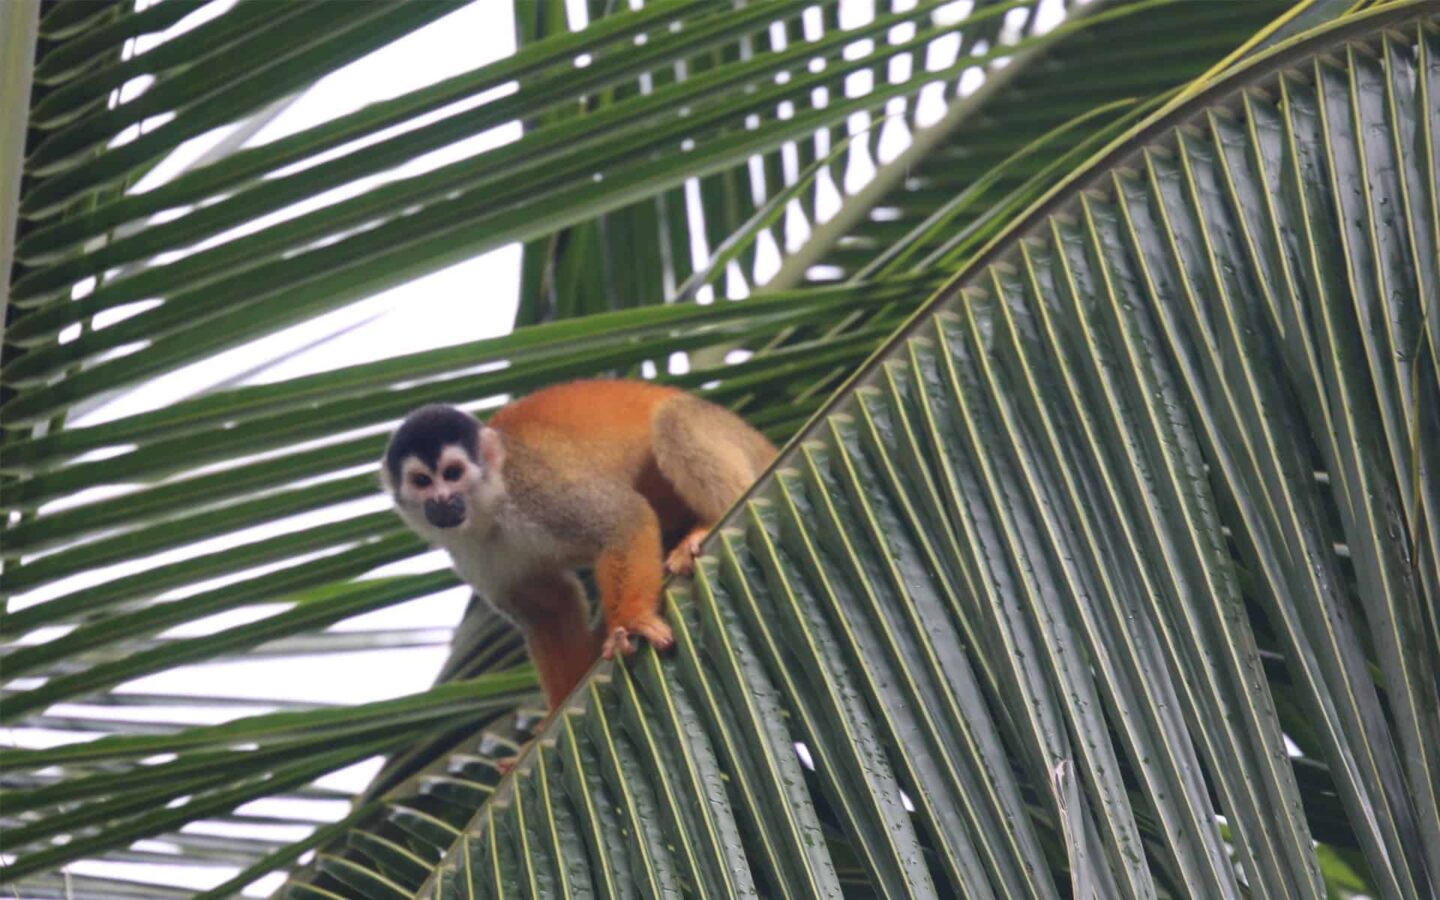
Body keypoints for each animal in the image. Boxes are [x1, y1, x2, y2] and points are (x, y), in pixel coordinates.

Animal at [381, 378, 777, 716]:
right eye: (422, 481)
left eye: (453, 473)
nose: (442, 500)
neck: (490, 509)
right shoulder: (469, 552)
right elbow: (548, 608)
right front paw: (558, 708)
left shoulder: (534, 486)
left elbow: (623, 518)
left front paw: (632, 621)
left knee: (674, 420)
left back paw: (710, 522)